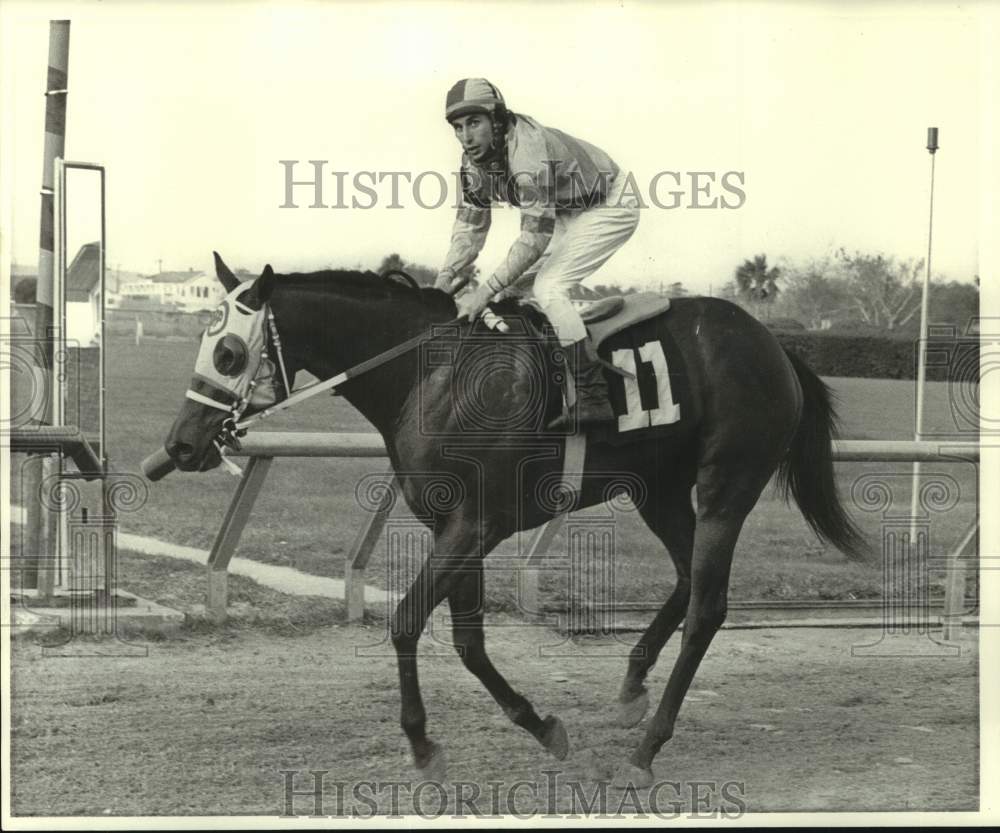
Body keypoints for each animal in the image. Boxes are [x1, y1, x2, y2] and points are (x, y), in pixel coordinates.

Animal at [160, 252, 864, 788]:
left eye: (228, 352)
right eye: (202, 342)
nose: (181, 445)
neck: (434, 376)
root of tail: (774, 345)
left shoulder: (477, 523)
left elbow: (406, 622)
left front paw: (424, 747)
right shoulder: (452, 525)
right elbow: (468, 642)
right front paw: (542, 726)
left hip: (726, 486)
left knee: (709, 608)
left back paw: (647, 748)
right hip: (658, 491)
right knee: (689, 581)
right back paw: (631, 689)